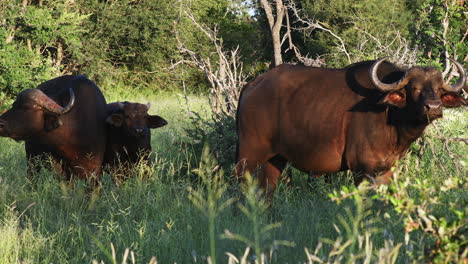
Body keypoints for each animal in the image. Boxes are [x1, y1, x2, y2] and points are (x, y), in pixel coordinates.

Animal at [236, 56, 466, 195]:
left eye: (438, 88)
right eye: (414, 88)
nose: (433, 107)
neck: (390, 117)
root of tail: (252, 85)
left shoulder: (386, 170)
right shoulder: (361, 168)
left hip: (274, 159)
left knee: (266, 193)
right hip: (248, 157)